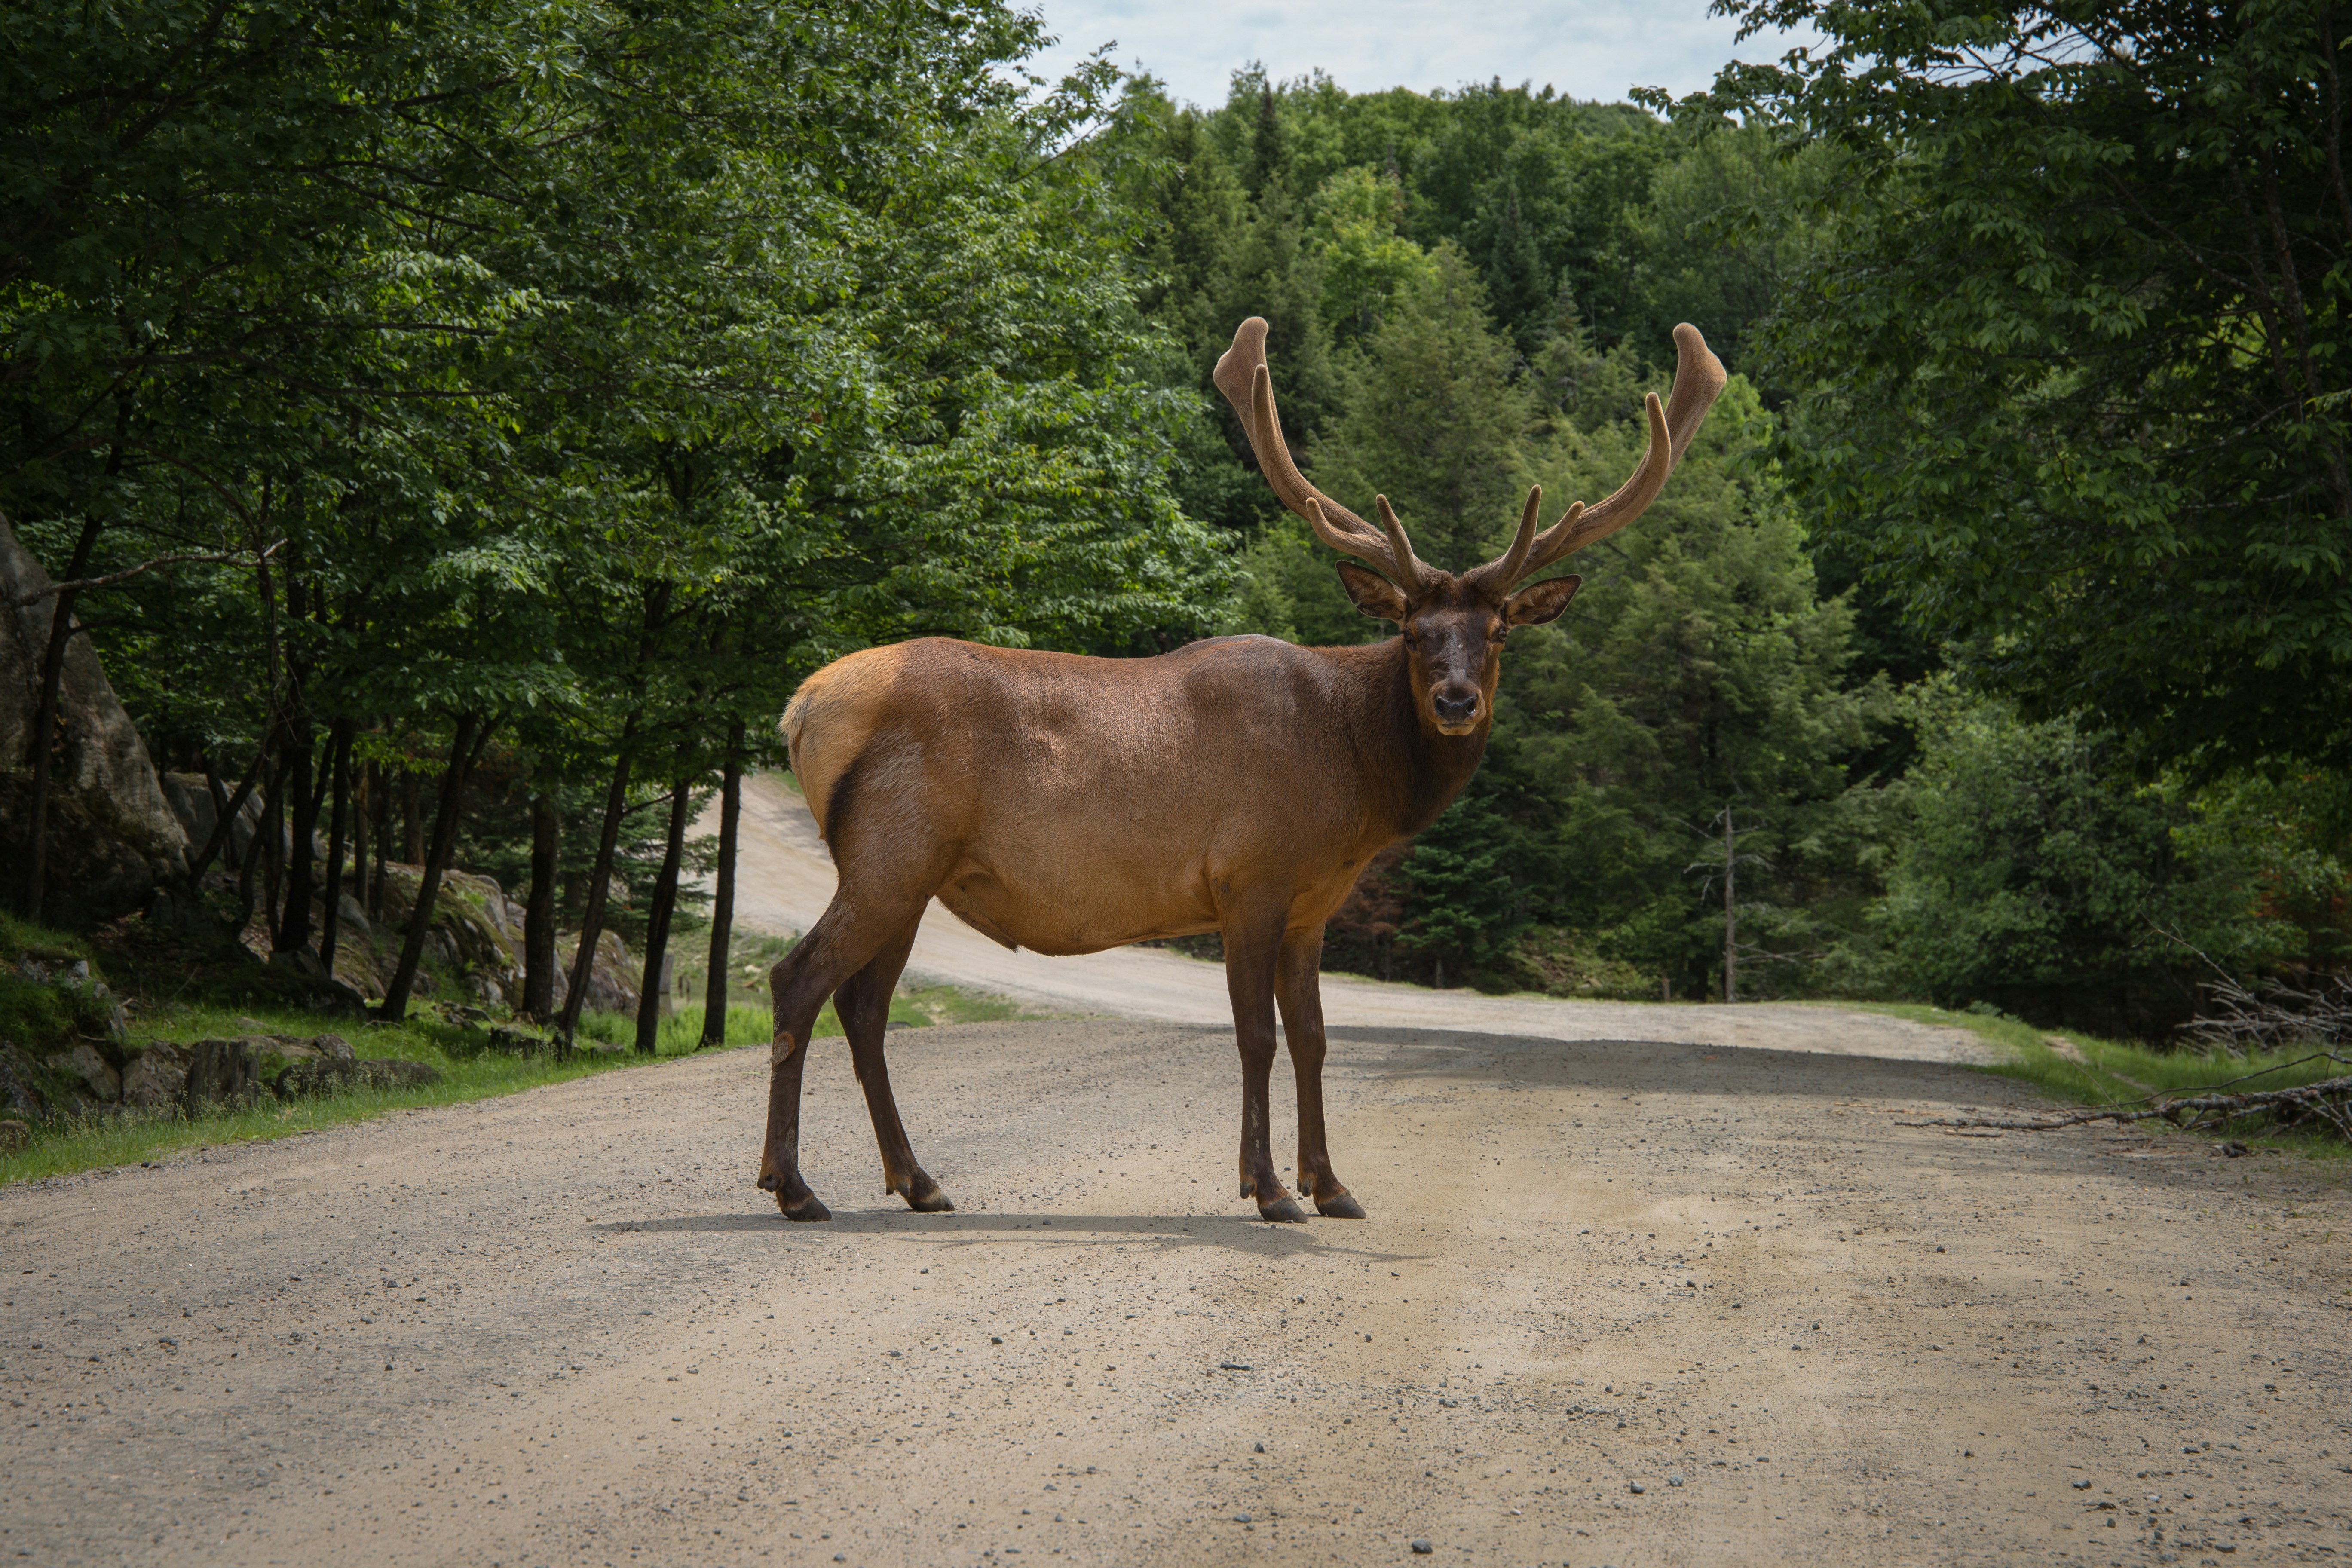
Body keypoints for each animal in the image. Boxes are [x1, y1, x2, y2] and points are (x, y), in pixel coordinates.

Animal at [757, 315, 1731, 1222]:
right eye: (1412, 631)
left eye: (1496, 634)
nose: (1457, 701)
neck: (1356, 783)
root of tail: (801, 707)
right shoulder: (1247, 876)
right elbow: (1256, 1035)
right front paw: (1267, 1188)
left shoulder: (1313, 905)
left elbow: (1313, 1035)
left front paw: (1332, 1184)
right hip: (890, 849)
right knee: (799, 978)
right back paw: (793, 1184)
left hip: (914, 871)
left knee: (865, 1005)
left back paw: (918, 1181)